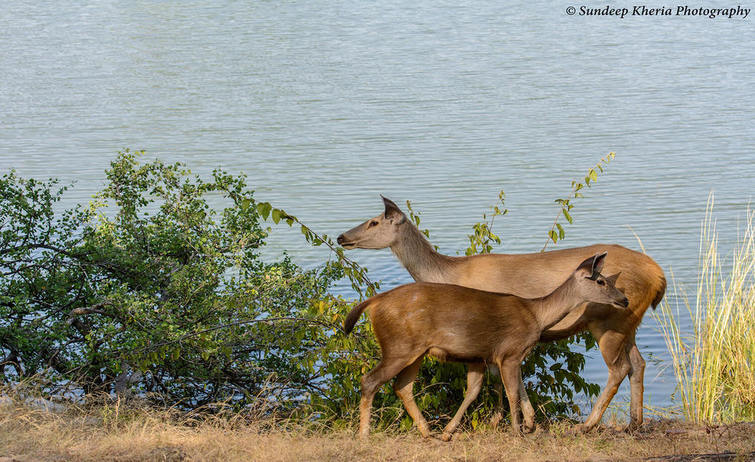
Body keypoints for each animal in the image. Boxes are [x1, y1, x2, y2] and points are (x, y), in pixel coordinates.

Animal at [346, 253, 628, 440]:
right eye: (601, 281)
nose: (624, 300)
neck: (537, 315)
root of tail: (373, 303)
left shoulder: (486, 357)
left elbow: (482, 391)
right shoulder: (510, 352)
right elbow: (512, 391)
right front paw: (517, 431)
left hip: (415, 351)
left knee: (402, 387)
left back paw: (428, 432)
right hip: (399, 346)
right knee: (370, 380)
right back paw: (364, 435)